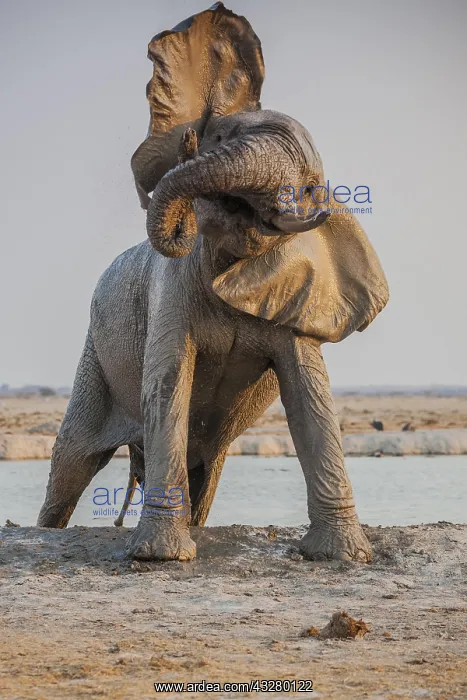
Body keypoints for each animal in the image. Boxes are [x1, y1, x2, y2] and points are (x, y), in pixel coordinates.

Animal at [37, 2, 389, 562]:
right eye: (220, 139)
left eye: (311, 188)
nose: (185, 220)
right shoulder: (169, 288)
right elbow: (168, 381)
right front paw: (158, 559)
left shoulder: (297, 302)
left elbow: (309, 393)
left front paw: (343, 557)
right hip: (93, 357)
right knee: (71, 464)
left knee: (204, 475)